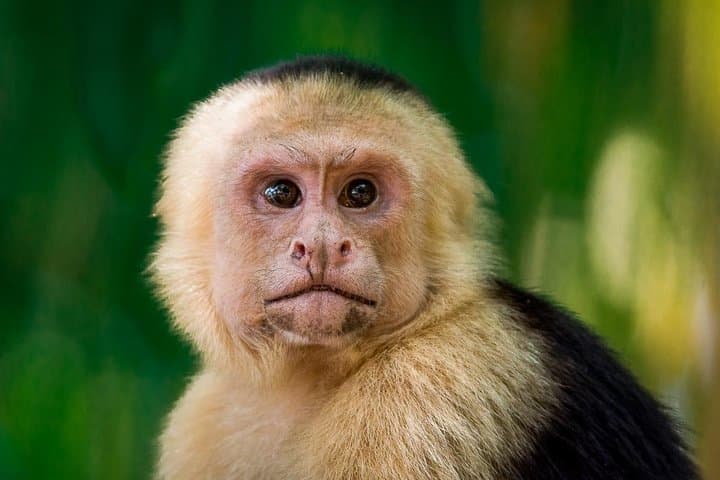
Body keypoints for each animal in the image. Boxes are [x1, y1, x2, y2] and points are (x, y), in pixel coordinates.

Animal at [150, 56, 699, 479]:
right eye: (282, 193)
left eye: (360, 192)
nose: (322, 245)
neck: (313, 378)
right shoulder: (201, 422)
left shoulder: (430, 393)